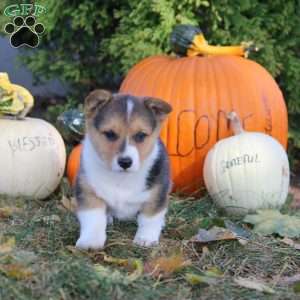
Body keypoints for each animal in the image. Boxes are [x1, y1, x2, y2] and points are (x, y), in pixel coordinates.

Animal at [75, 89, 172, 248]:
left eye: (141, 135)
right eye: (109, 134)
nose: (125, 162)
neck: (121, 177)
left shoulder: (157, 194)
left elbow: (149, 218)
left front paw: (145, 239)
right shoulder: (88, 192)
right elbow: (93, 219)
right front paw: (91, 241)